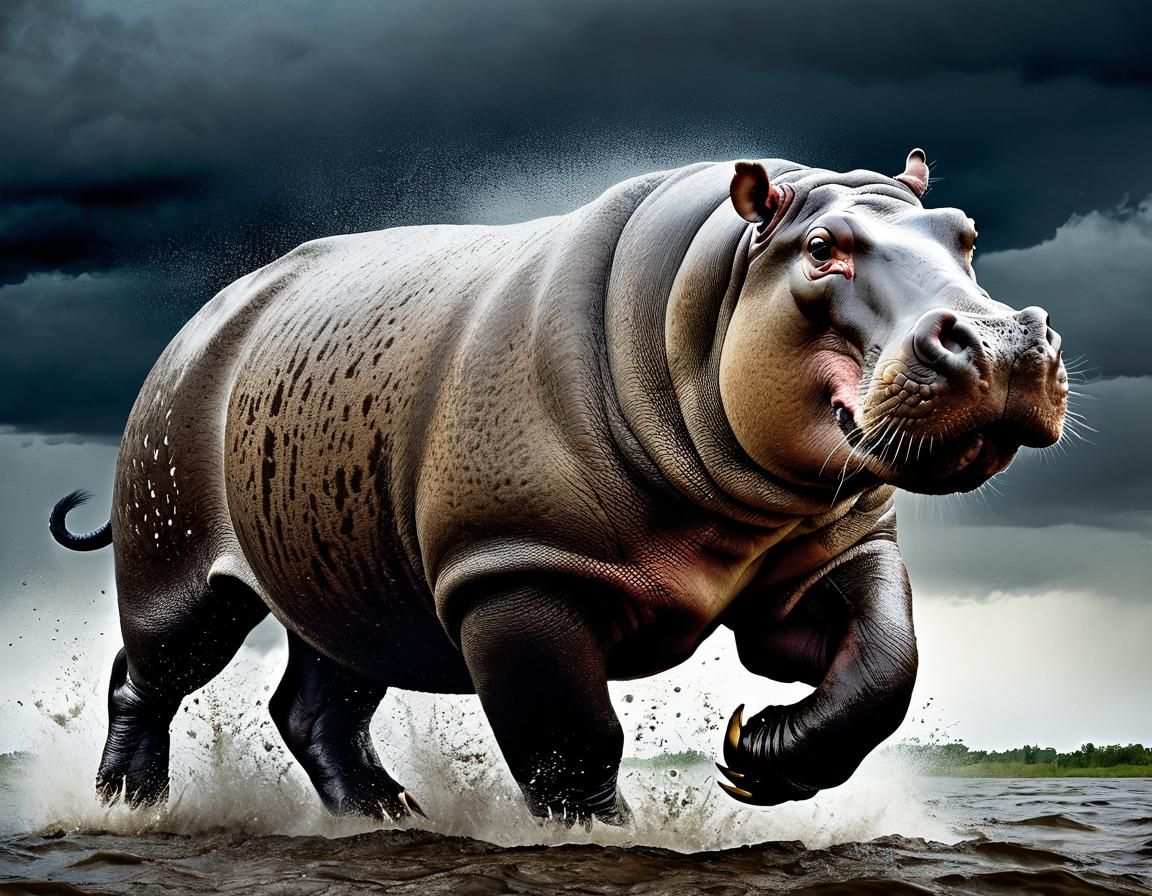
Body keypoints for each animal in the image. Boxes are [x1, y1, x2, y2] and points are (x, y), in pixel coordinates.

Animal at [50, 150, 1067, 825]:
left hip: (354, 573)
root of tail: (200, 321)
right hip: (178, 535)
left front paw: (753, 757)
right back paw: (129, 809)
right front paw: (615, 840)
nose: (1006, 341)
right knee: (154, 667)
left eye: (968, 234)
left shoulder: (834, 544)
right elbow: (570, 738)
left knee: (320, 697)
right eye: (821, 248)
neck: (713, 288)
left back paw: (387, 816)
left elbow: (885, 665)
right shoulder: (514, 572)